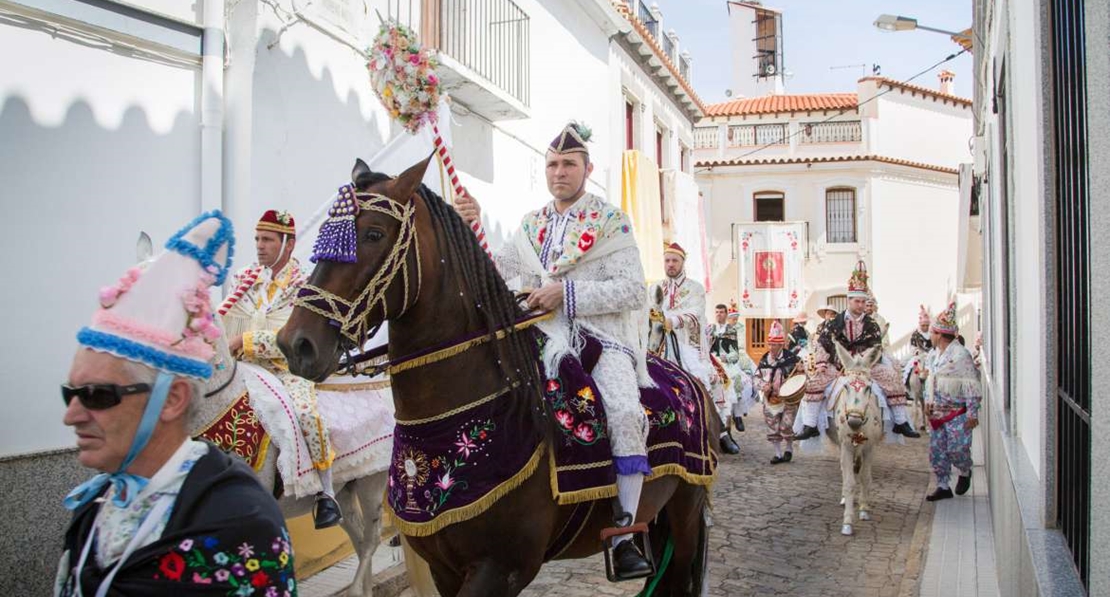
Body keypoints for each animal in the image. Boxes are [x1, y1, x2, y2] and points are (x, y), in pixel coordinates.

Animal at [276, 155, 710, 590]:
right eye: (324, 237)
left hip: (685, 514)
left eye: (373, 234)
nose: (295, 344)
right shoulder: (443, 568)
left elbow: (627, 284)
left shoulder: (501, 568)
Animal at [825, 341, 883, 537]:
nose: (854, 421)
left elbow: (865, 477)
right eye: (846, 387)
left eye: (868, 388)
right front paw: (847, 522)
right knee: (845, 471)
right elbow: (849, 482)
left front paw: (864, 509)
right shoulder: (846, 446)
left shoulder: (870, 448)